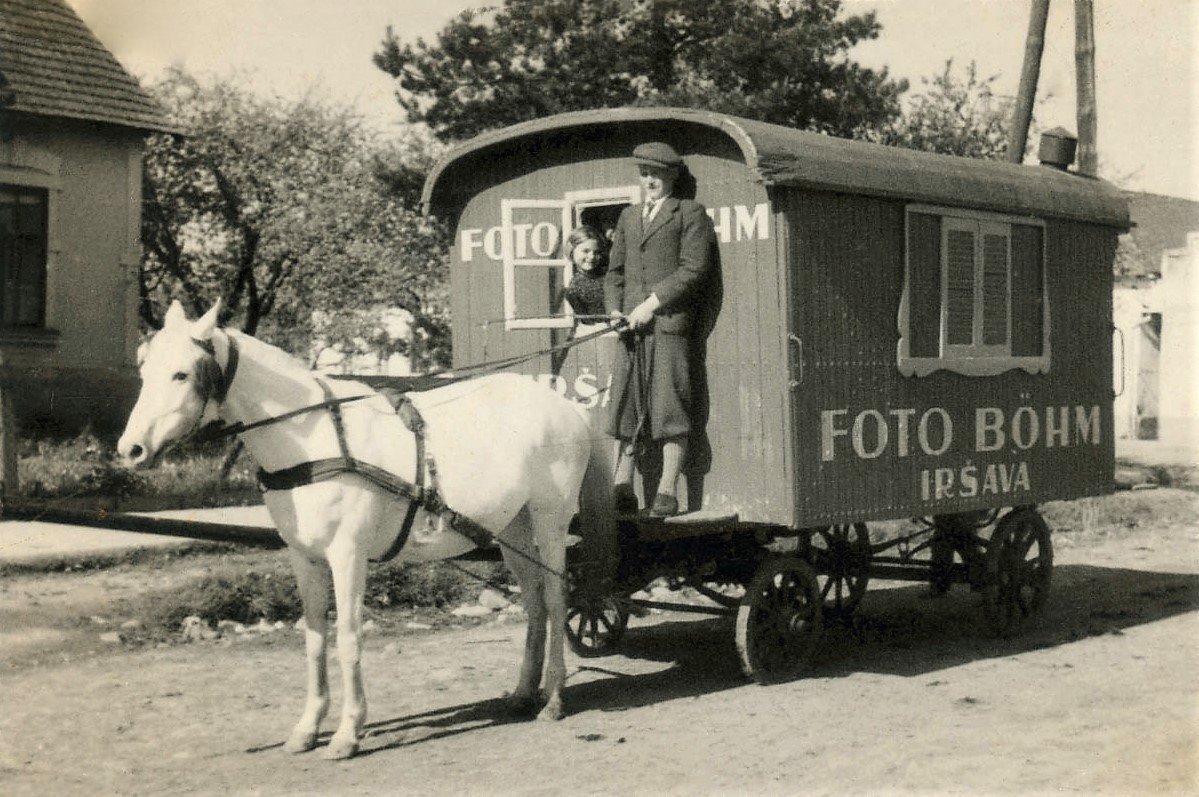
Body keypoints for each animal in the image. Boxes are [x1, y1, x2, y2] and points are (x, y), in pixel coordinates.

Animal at [116, 299, 613, 757]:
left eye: (181, 375)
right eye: (144, 369)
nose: (130, 450)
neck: (313, 437)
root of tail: (567, 407)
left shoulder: (348, 555)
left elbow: (348, 638)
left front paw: (348, 732)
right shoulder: (305, 558)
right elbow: (315, 639)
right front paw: (307, 728)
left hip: (549, 523)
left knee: (556, 598)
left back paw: (554, 698)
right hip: (511, 529)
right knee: (535, 606)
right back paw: (524, 693)